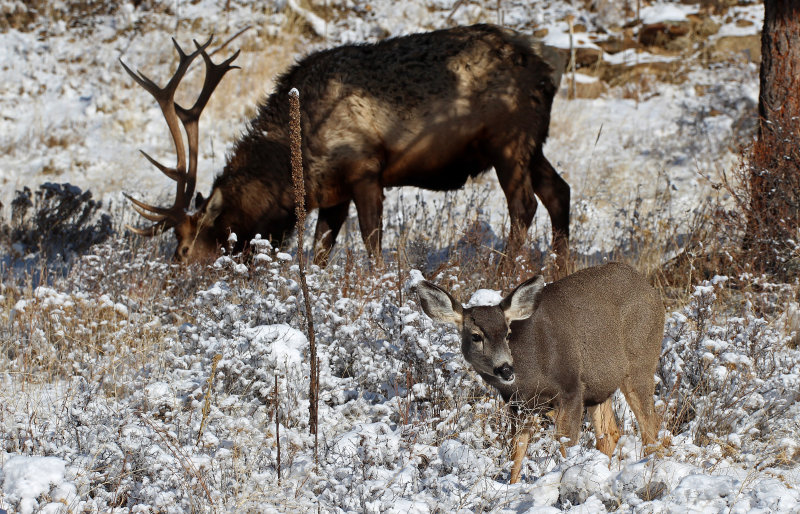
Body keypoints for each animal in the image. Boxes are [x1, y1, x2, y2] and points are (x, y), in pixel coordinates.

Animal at [120, 24, 568, 264]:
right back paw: (558, 270)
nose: (175, 284)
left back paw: (507, 274)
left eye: (182, 249)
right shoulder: (331, 194)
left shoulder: (365, 171)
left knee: (523, 206)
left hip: (509, 140)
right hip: (533, 145)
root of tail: (549, 74)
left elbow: (372, 244)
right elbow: (320, 252)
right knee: (557, 192)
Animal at [416, 262, 664, 482]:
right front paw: (512, 487)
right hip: (600, 386)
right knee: (610, 434)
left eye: (507, 333)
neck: (531, 373)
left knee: (650, 425)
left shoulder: (571, 389)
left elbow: (566, 446)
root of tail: (648, 286)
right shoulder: (519, 405)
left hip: (641, 362)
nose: (505, 368)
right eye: (476, 336)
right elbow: (516, 452)